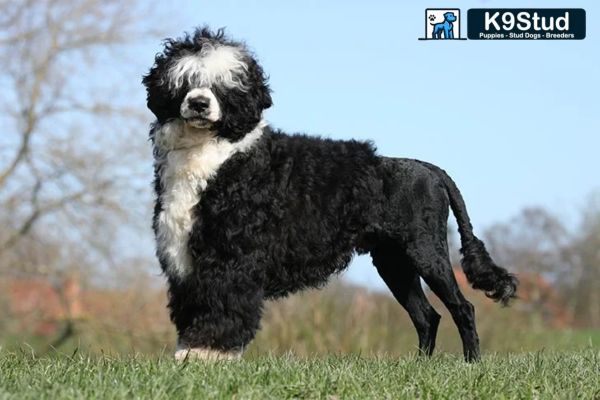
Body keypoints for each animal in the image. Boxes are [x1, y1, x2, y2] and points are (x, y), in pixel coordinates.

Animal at [143, 26, 516, 360]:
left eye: (225, 86)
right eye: (183, 81)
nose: (199, 103)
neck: (218, 153)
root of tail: (430, 169)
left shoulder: (230, 256)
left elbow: (223, 306)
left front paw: (208, 354)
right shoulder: (185, 259)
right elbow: (193, 308)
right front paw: (189, 355)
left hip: (426, 251)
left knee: (462, 308)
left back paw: (471, 364)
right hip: (394, 262)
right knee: (427, 316)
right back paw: (421, 367)